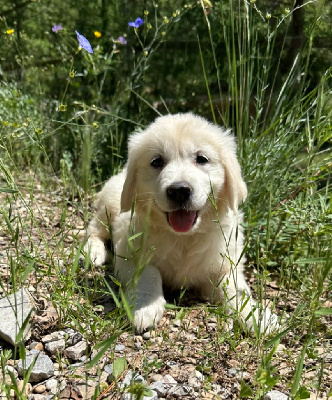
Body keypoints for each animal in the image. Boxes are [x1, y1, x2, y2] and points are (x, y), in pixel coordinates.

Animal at [84, 113, 278, 334]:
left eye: (201, 159)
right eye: (157, 161)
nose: (179, 190)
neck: (183, 238)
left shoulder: (226, 264)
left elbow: (233, 289)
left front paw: (257, 316)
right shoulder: (126, 255)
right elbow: (149, 272)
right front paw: (144, 307)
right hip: (108, 208)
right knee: (94, 230)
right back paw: (93, 252)